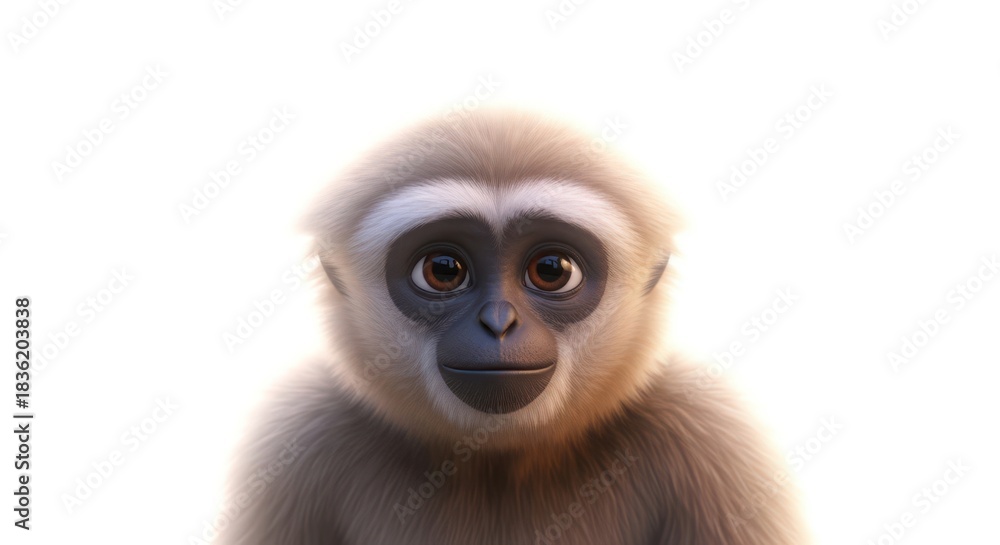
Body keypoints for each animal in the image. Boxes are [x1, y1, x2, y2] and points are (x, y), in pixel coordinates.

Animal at [219, 110, 809, 545]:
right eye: (443, 269)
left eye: (552, 269)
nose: (499, 323)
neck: (500, 463)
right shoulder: (292, 438)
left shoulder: (718, 441)